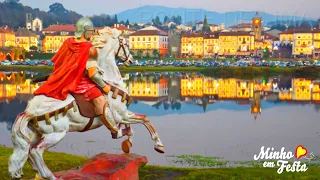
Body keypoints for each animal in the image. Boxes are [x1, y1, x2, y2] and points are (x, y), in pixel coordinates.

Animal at [9, 27, 165, 180]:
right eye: (126, 44)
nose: (131, 60)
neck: (110, 80)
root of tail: (29, 111)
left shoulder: (123, 115)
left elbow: (131, 128)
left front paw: (127, 139)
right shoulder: (122, 115)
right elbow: (144, 119)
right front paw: (158, 145)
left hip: (38, 133)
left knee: (28, 149)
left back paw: (36, 172)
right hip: (56, 133)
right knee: (36, 152)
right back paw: (50, 176)